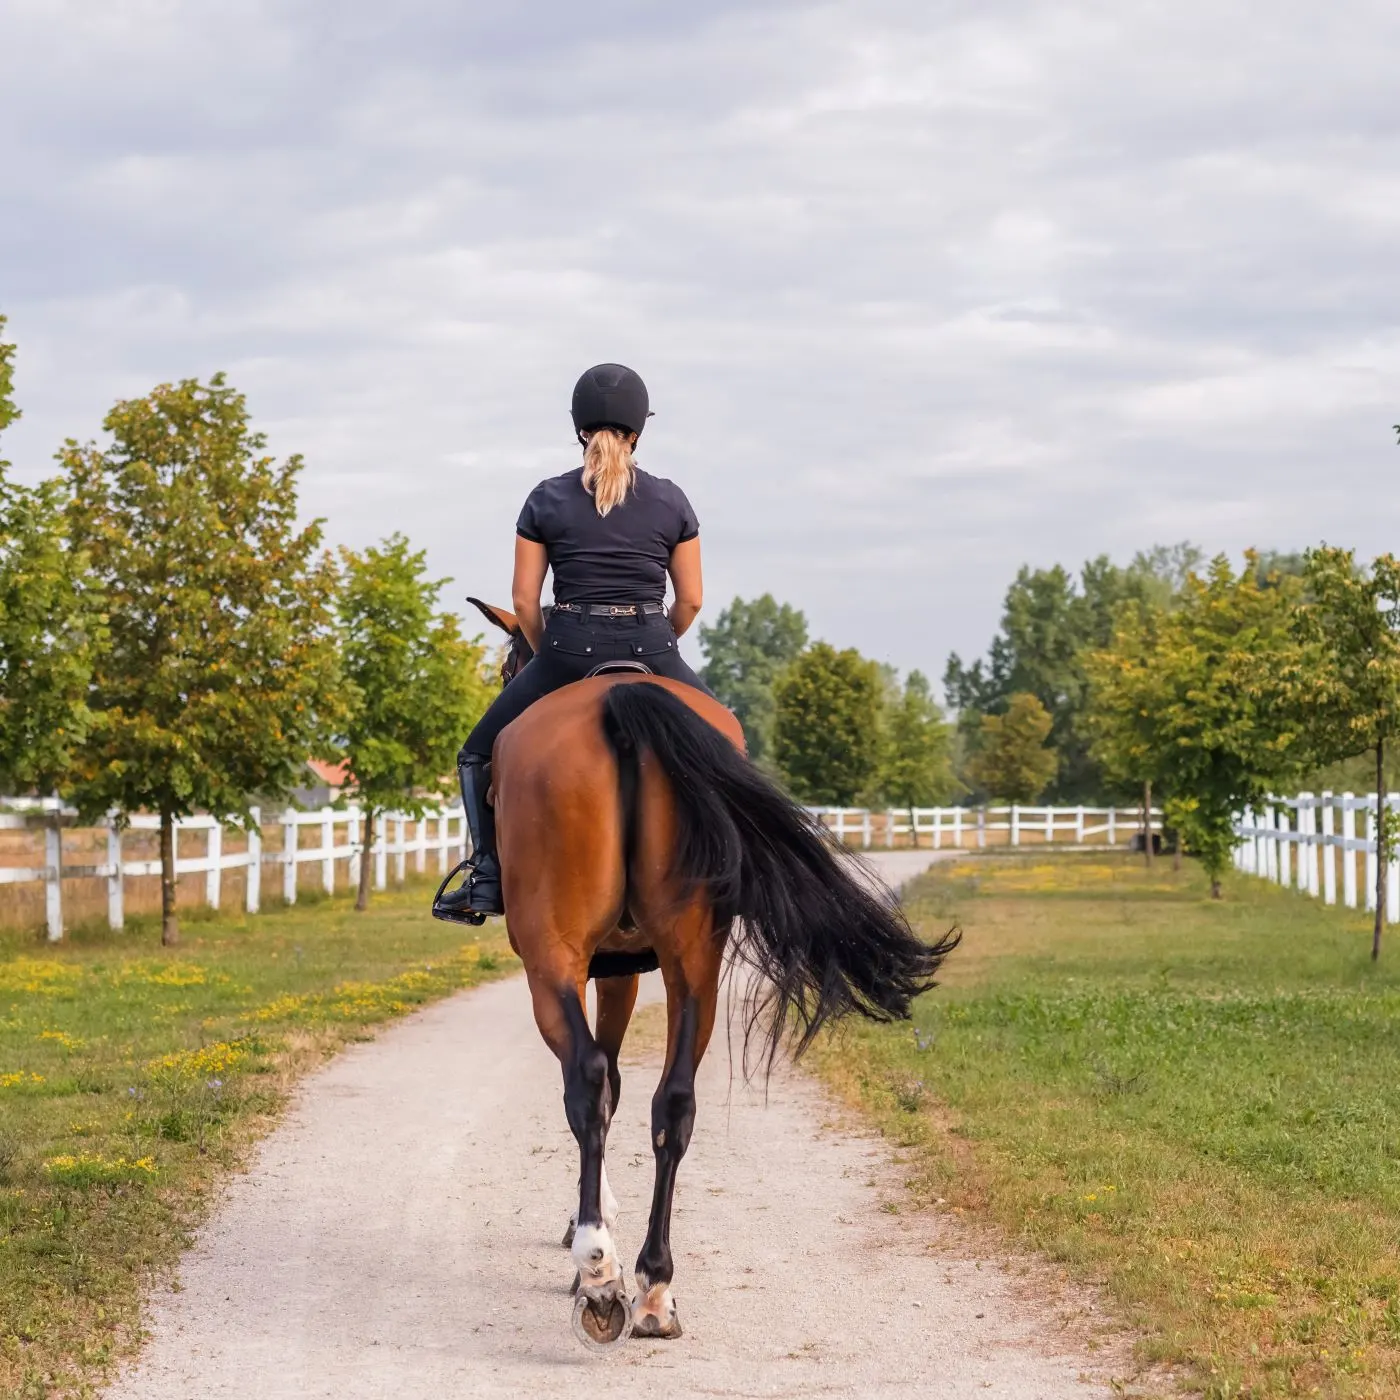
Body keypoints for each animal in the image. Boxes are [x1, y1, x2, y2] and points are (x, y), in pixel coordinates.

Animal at [453, 599, 957, 1344]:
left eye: (506, 666)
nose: (507, 674)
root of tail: (617, 700)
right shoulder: (625, 969)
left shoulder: (602, 969)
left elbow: (602, 1082)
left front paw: (588, 1231)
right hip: (693, 960)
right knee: (675, 1101)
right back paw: (655, 1288)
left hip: (554, 957)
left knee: (588, 1081)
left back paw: (600, 1274)